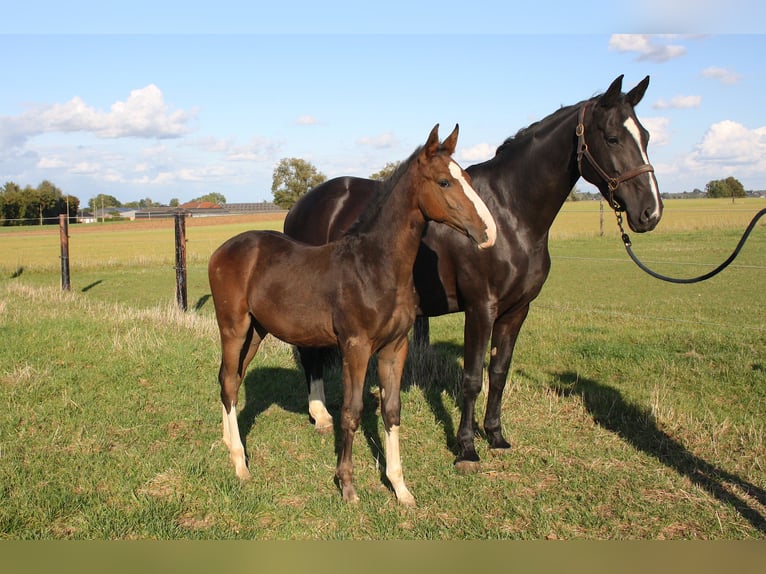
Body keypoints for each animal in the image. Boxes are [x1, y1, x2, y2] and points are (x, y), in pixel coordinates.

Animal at [284, 76, 664, 472]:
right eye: (612, 138)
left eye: (646, 136)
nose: (650, 212)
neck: (510, 213)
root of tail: (303, 203)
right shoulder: (481, 307)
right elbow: (471, 378)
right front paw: (466, 448)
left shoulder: (516, 310)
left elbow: (498, 373)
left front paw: (495, 435)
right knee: (310, 356)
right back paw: (321, 416)